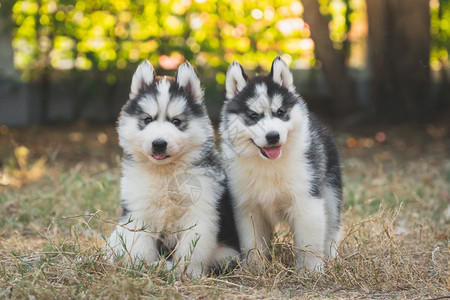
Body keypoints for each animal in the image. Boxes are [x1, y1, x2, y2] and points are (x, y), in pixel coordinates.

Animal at [106, 60, 239, 276]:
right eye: (147, 120)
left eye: (176, 121)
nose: (159, 144)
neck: (165, 173)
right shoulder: (138, 212)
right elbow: (141, 246)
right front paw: (141, 268)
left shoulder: (200, 213)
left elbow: (191, 250)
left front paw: (188, 273)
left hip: (227, 254)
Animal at [220, 57, 342, 270]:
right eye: (253, 116)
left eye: (280, 112)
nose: (273, 136)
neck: (269, 164)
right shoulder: (247, 207)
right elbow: (252, 243)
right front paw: (256, 269)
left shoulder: (307, 200)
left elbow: (309, 243)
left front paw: (311, 271)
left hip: (331, 191)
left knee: (332, 226)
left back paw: (332, 257)